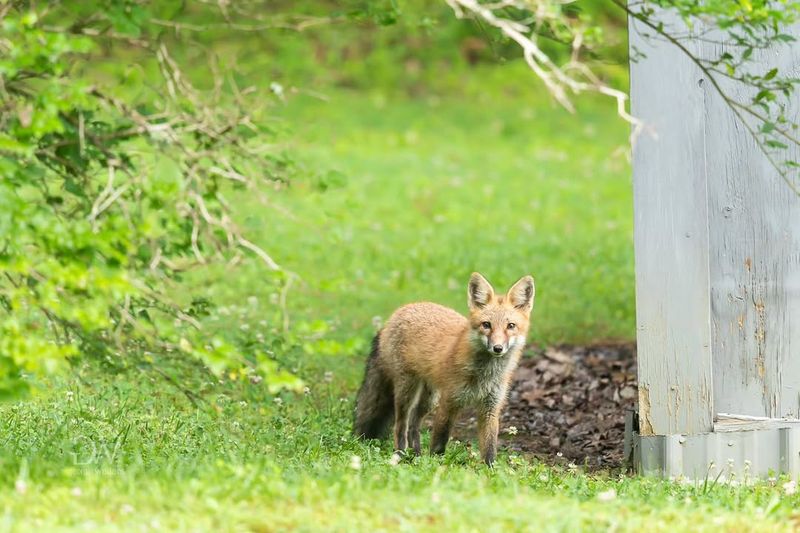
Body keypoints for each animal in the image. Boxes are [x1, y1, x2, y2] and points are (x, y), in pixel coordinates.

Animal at [353, 272, 535, 466]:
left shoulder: (490, 408)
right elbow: (439, 440)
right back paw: (400, 455)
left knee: (413, 425)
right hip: (407, 391)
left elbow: (490, 448)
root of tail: (397, 313)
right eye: (486, 325)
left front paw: (489, 470)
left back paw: (416, 456)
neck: (484, 375)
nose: (498, 348)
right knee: (400, 425)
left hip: (430, 398)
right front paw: (437, 466)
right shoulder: (449, 402)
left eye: (511, 326)